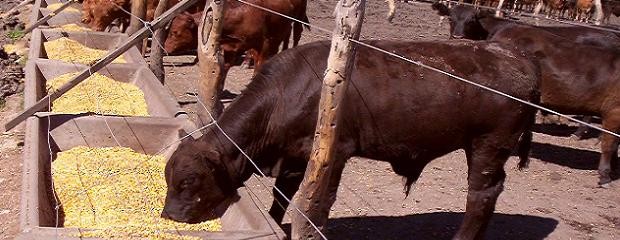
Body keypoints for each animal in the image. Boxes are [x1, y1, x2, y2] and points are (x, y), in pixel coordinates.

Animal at [161, 39, 544, 238]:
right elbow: (283, 194)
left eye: (189, 180)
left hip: (488, 147)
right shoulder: (295, 155)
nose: (169, 215)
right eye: (167, 177)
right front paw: (276, 221)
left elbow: (318, 203)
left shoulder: (335, 154)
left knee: (481, 196)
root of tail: (513, 54)